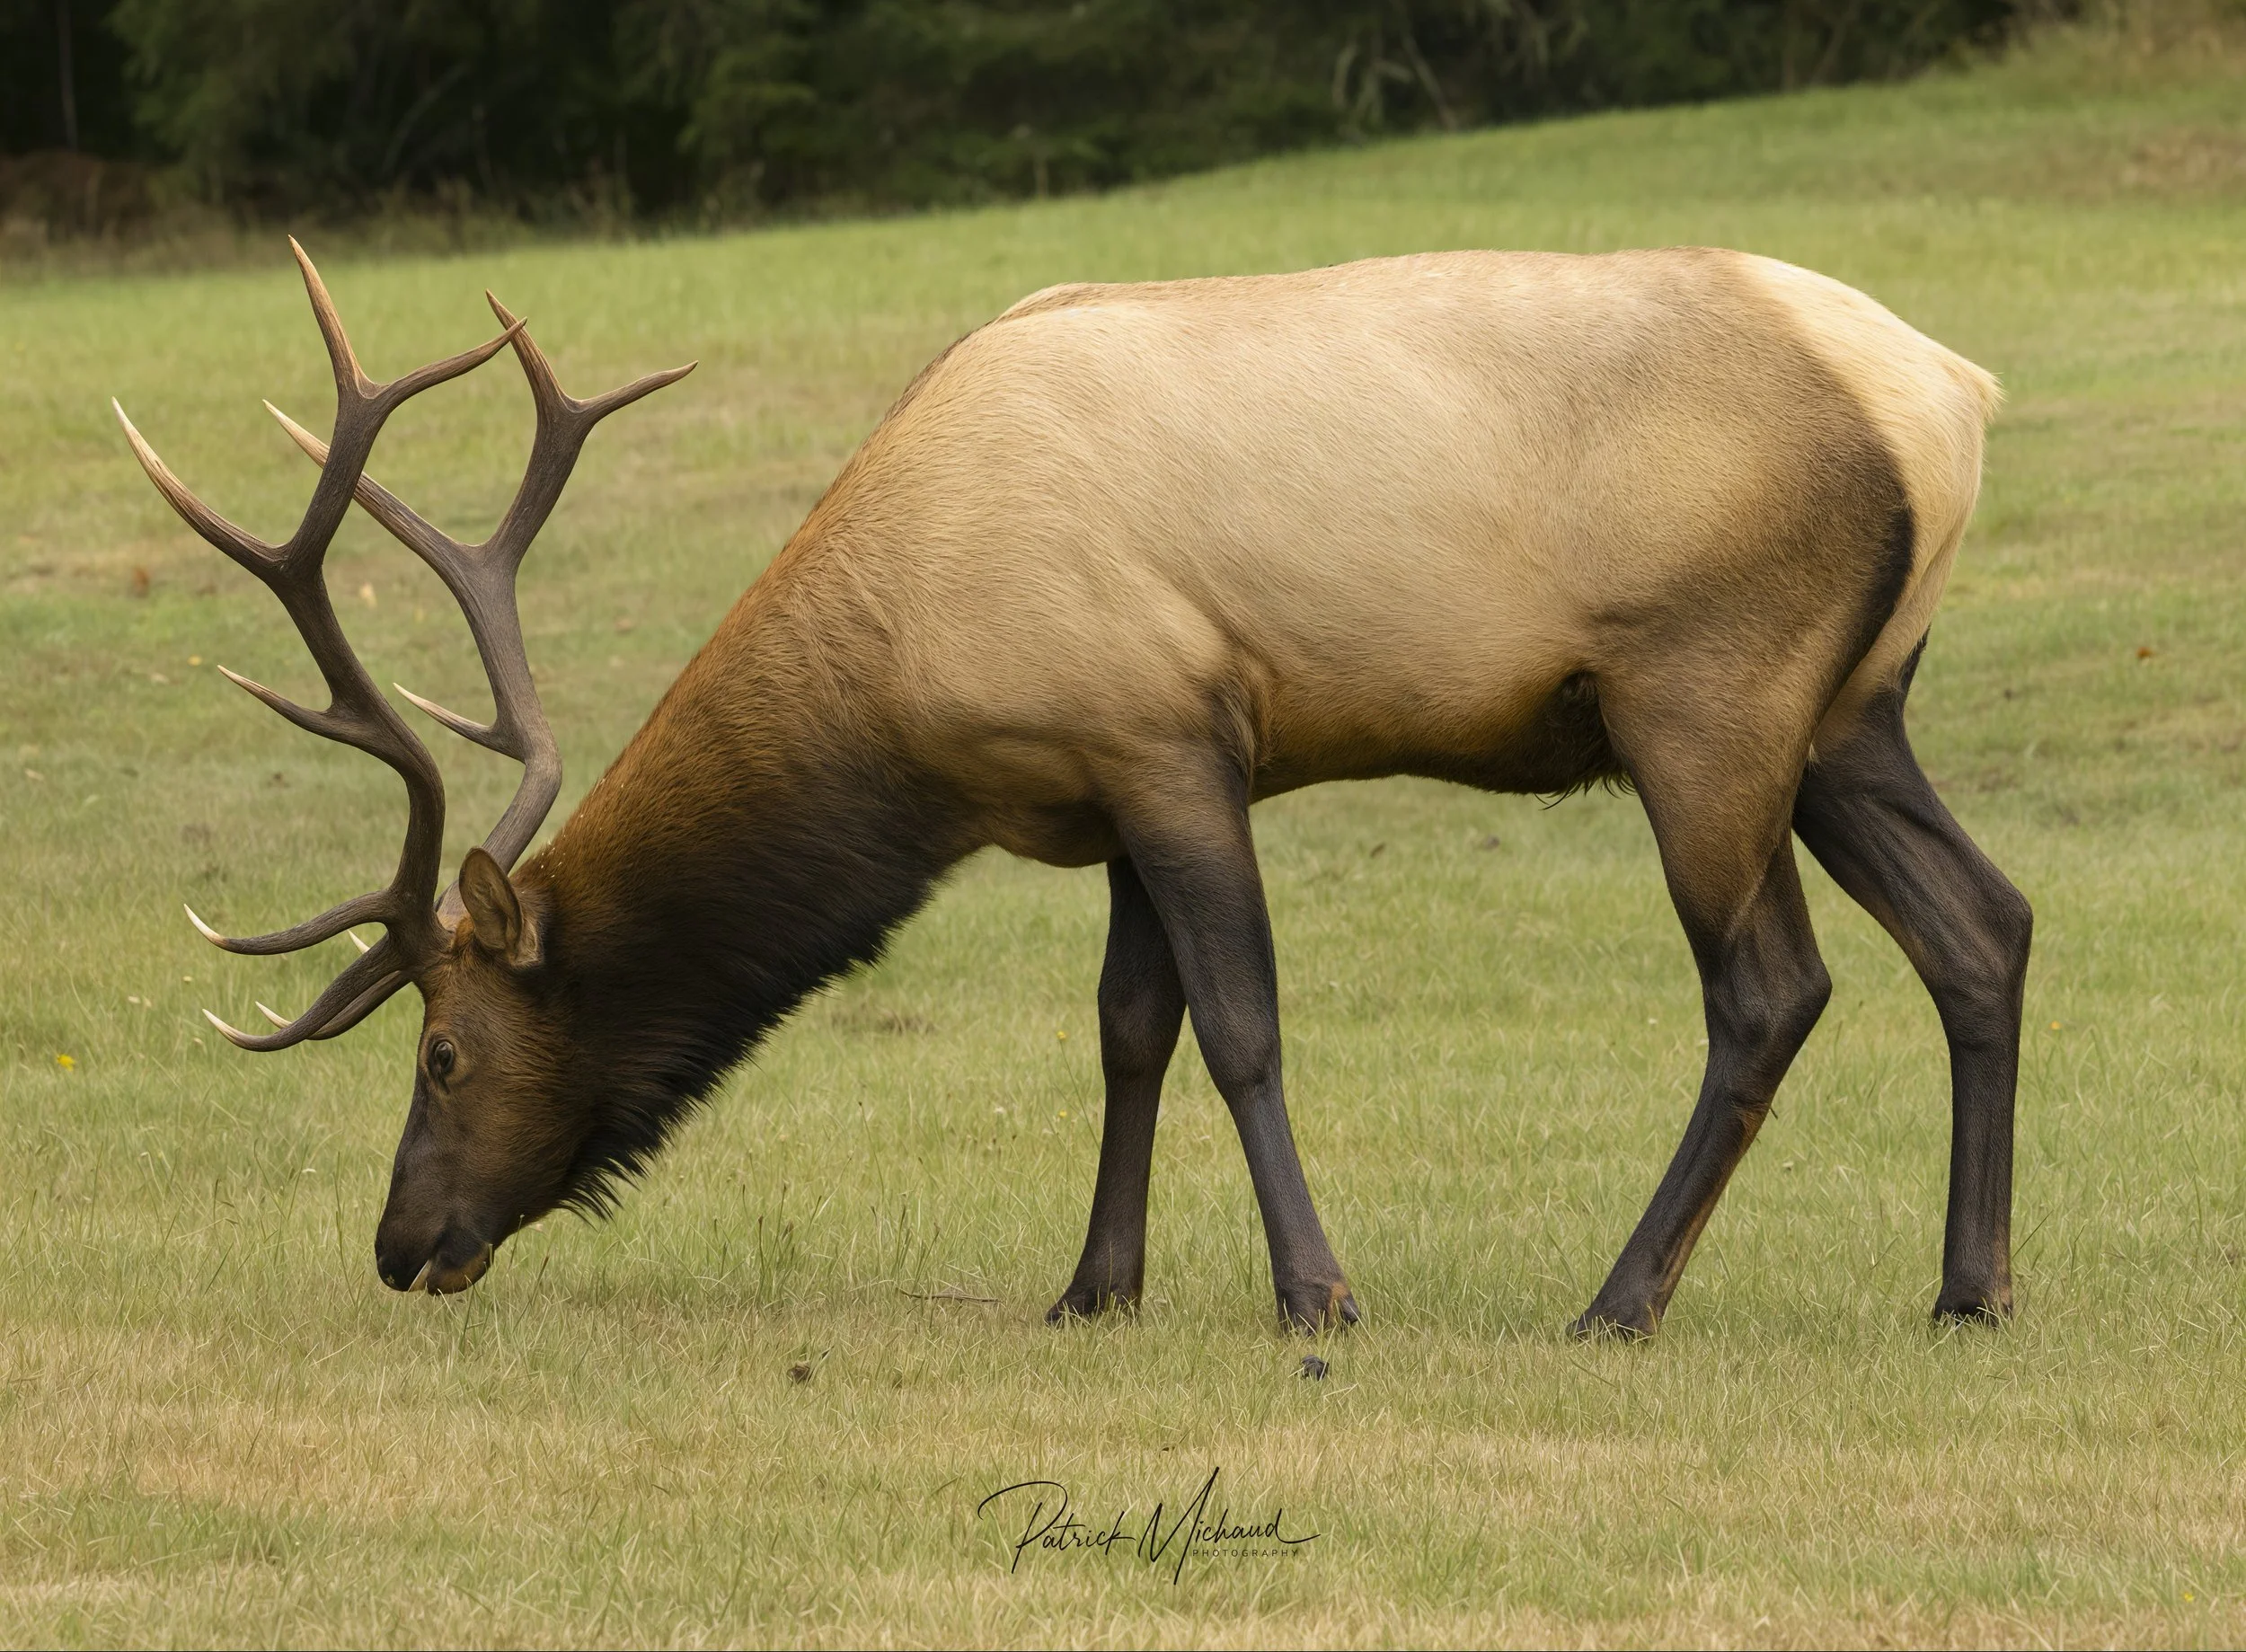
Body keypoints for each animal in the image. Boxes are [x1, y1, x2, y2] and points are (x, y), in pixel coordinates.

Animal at [118, 240, 2029, 1337]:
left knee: (1770, 985)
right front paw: (1095, 1285)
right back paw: (1971, 1282)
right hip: (1856, 706)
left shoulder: (1171, 733)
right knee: (1986, 926)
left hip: (1708, 690)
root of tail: (1953, 393)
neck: (904, 680)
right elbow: (1128, 1026)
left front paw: (1316, 1293)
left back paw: (1620, 1298)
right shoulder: (1105, 789)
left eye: (441, 1048)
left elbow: (1240, 1022)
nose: (401, 1239)